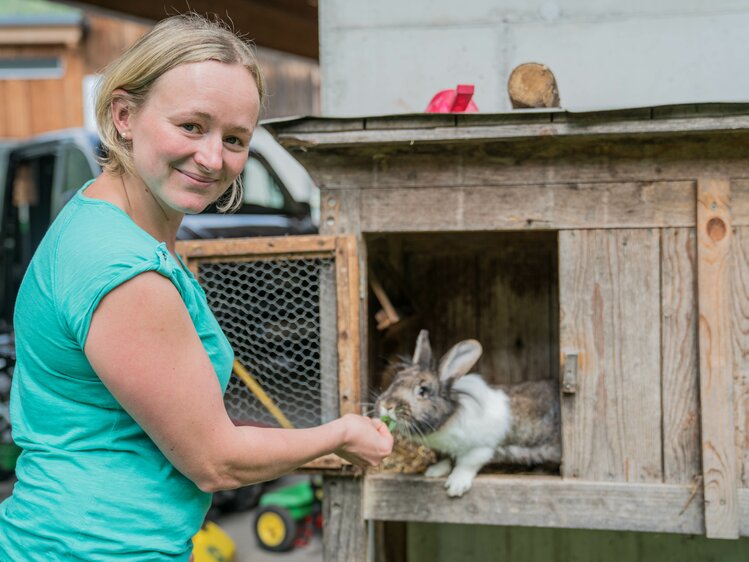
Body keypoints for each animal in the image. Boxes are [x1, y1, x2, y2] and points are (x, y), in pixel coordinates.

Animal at [376, 328, 560, 494]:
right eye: (396, 379)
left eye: (422, 391)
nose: (387, 405)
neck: (449, 418)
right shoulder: (445, 449)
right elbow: (446, 459)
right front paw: (434, 472)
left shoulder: (482, 447)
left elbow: (467, 463)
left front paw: (455, 486)